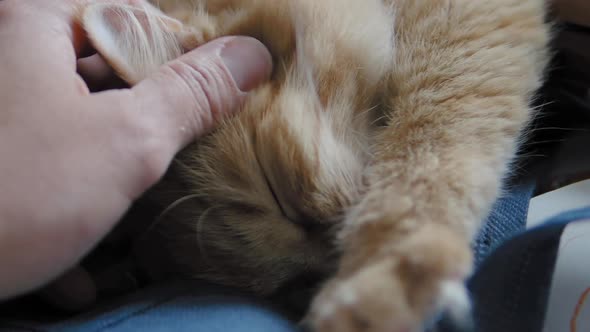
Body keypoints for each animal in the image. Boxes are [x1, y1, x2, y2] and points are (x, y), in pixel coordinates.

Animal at [76, 1, 552, 330]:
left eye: (277, 190)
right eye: (295, 284)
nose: (331, 252)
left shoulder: (460, 24)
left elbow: (428, 142)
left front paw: (382, 272)